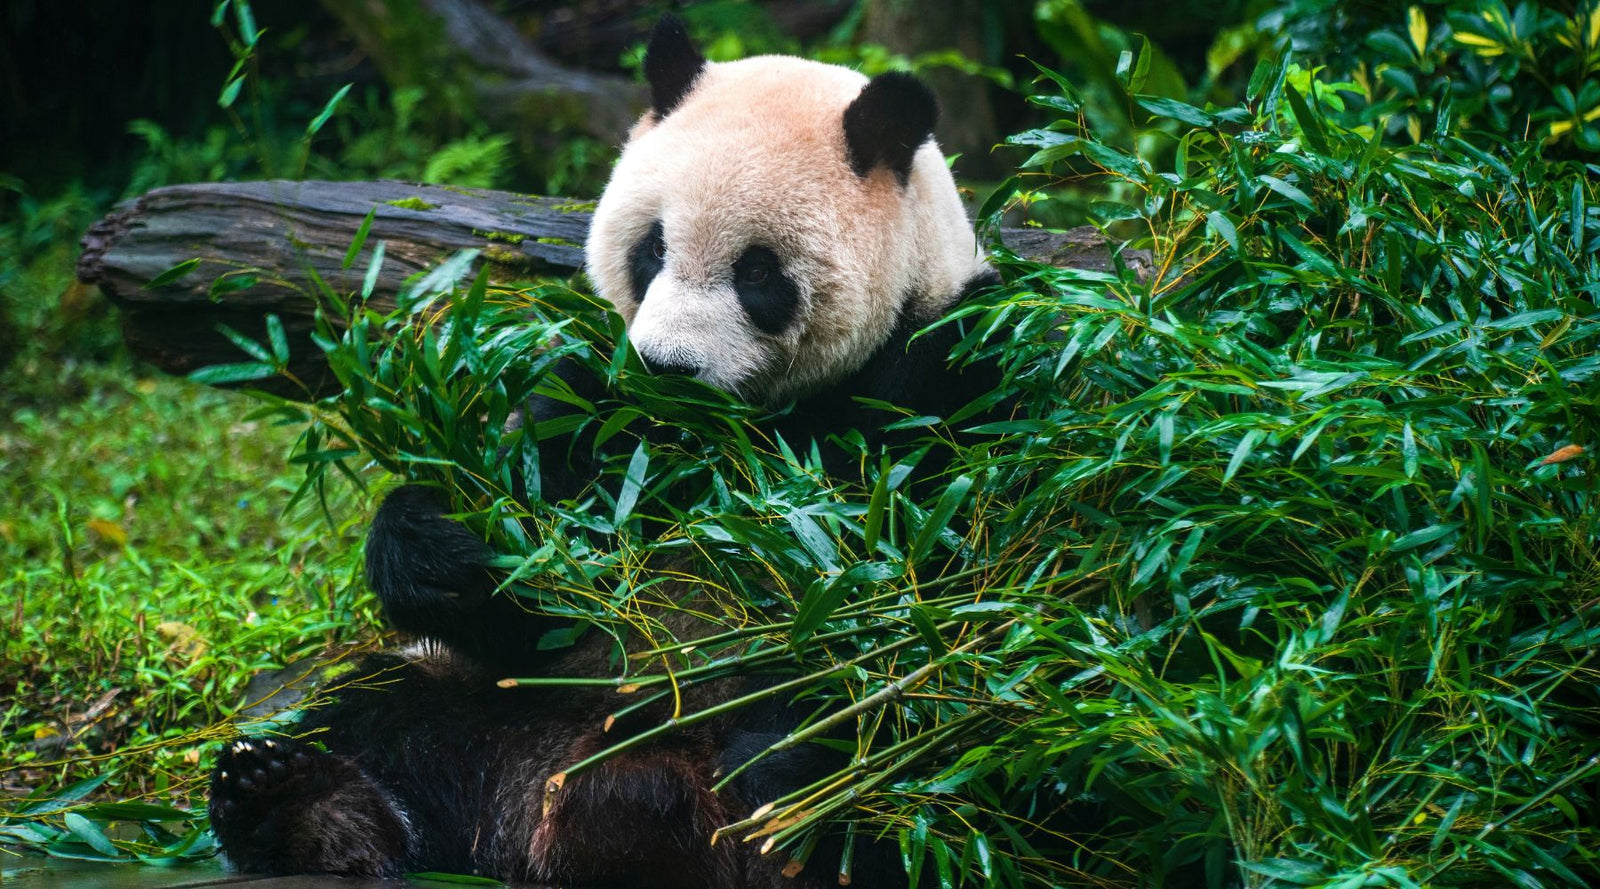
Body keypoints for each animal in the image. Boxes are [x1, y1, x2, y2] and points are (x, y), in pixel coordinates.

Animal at [208, 16, 1001, 888]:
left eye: (759, 271)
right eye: (652, 247)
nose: (666, 368)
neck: (726, 438)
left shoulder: (948, 370)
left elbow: (938, 607)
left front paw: (800, 733)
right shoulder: (594, 410)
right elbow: (529, 595)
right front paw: (436, 540)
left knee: (917, 790)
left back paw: (787, 794)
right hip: (495, 708)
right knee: (377, 712)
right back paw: (298, 806)